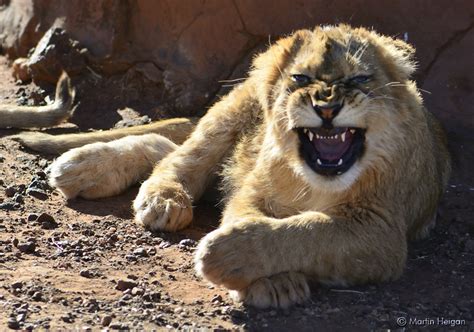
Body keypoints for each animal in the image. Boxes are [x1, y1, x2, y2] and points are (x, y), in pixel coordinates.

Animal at [12, 25, 450, 308]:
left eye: (359, 79)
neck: (315, 181)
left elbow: (310, 230)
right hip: (232, 112)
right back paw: (134, 189)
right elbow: (262, 220)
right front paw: (269, 282)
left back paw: (81, 170)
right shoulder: (253, 191)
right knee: (176, 155)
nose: (327, 107)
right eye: (300, 78)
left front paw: (228, 257)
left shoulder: (381, 230)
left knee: (162, 145)